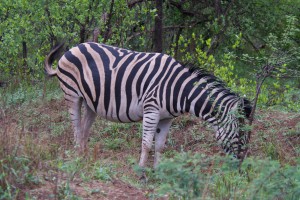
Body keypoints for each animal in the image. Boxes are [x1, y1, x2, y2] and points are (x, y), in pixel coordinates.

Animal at [44, 42, 251, 170]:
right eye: (241, 134)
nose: (241, 165)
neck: (179, 90)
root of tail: (73, 48)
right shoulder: (151, 111)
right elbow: (146, 143)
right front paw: (141, 170)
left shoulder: (167, 118)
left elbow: (159, 146)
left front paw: (157, 170)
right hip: (72, 94)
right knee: (76, 127)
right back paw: (78, 156)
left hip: (91, 102)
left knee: (85, 129)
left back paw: (86, 157)